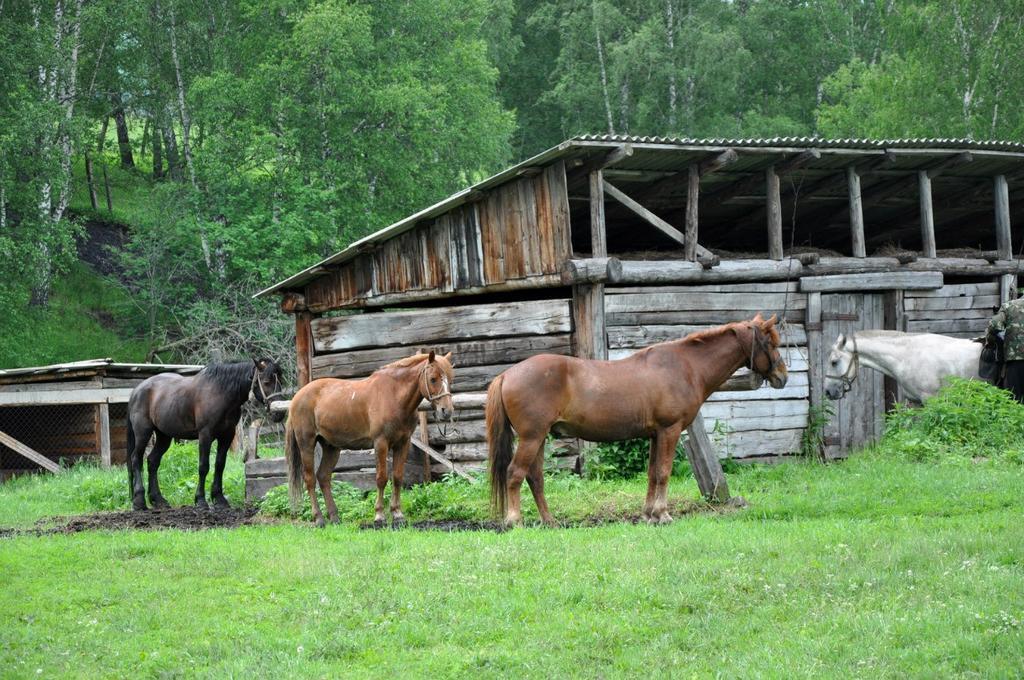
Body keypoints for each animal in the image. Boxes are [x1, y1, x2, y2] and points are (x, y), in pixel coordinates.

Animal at [126, 360, 284, 510]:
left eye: (281, 381)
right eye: (266, 382)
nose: (278, 414)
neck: (221, 393)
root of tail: (136, 391)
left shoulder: (227, 436)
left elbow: (219, 465)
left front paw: (219, 499)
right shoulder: (205, 435)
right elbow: (203, 466)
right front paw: (201, 500)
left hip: (164, 436)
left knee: (152, 461)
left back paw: (158, 500)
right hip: (143, 433)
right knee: (136, 459)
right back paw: (139, 501)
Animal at [284, 350, 452, 524]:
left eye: (450, 378)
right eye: (433, 379)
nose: (446, 411)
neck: (393, 395)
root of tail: (297, 397)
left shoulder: (403, 443)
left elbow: (398, 477)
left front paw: (397, 514)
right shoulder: (381, 443)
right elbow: (381, 478)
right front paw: (379, 515)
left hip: (331, 447)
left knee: (323, 477)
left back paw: (334, 517)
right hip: (306, 444)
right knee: (310, 479)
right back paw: (319, 518)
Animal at [483, 315, 786, 524]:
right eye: (771, 343)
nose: (782, 376)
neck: (686, 366)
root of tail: (507, 374)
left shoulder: (655, 435)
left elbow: (652, 473)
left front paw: (649, 514)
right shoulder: (670, 431)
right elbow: (663, 473)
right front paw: (663, 515)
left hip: (539, 438)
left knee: (535, 478)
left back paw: (549, 521)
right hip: (532, 438)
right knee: (515, 473)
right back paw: (514, 520)